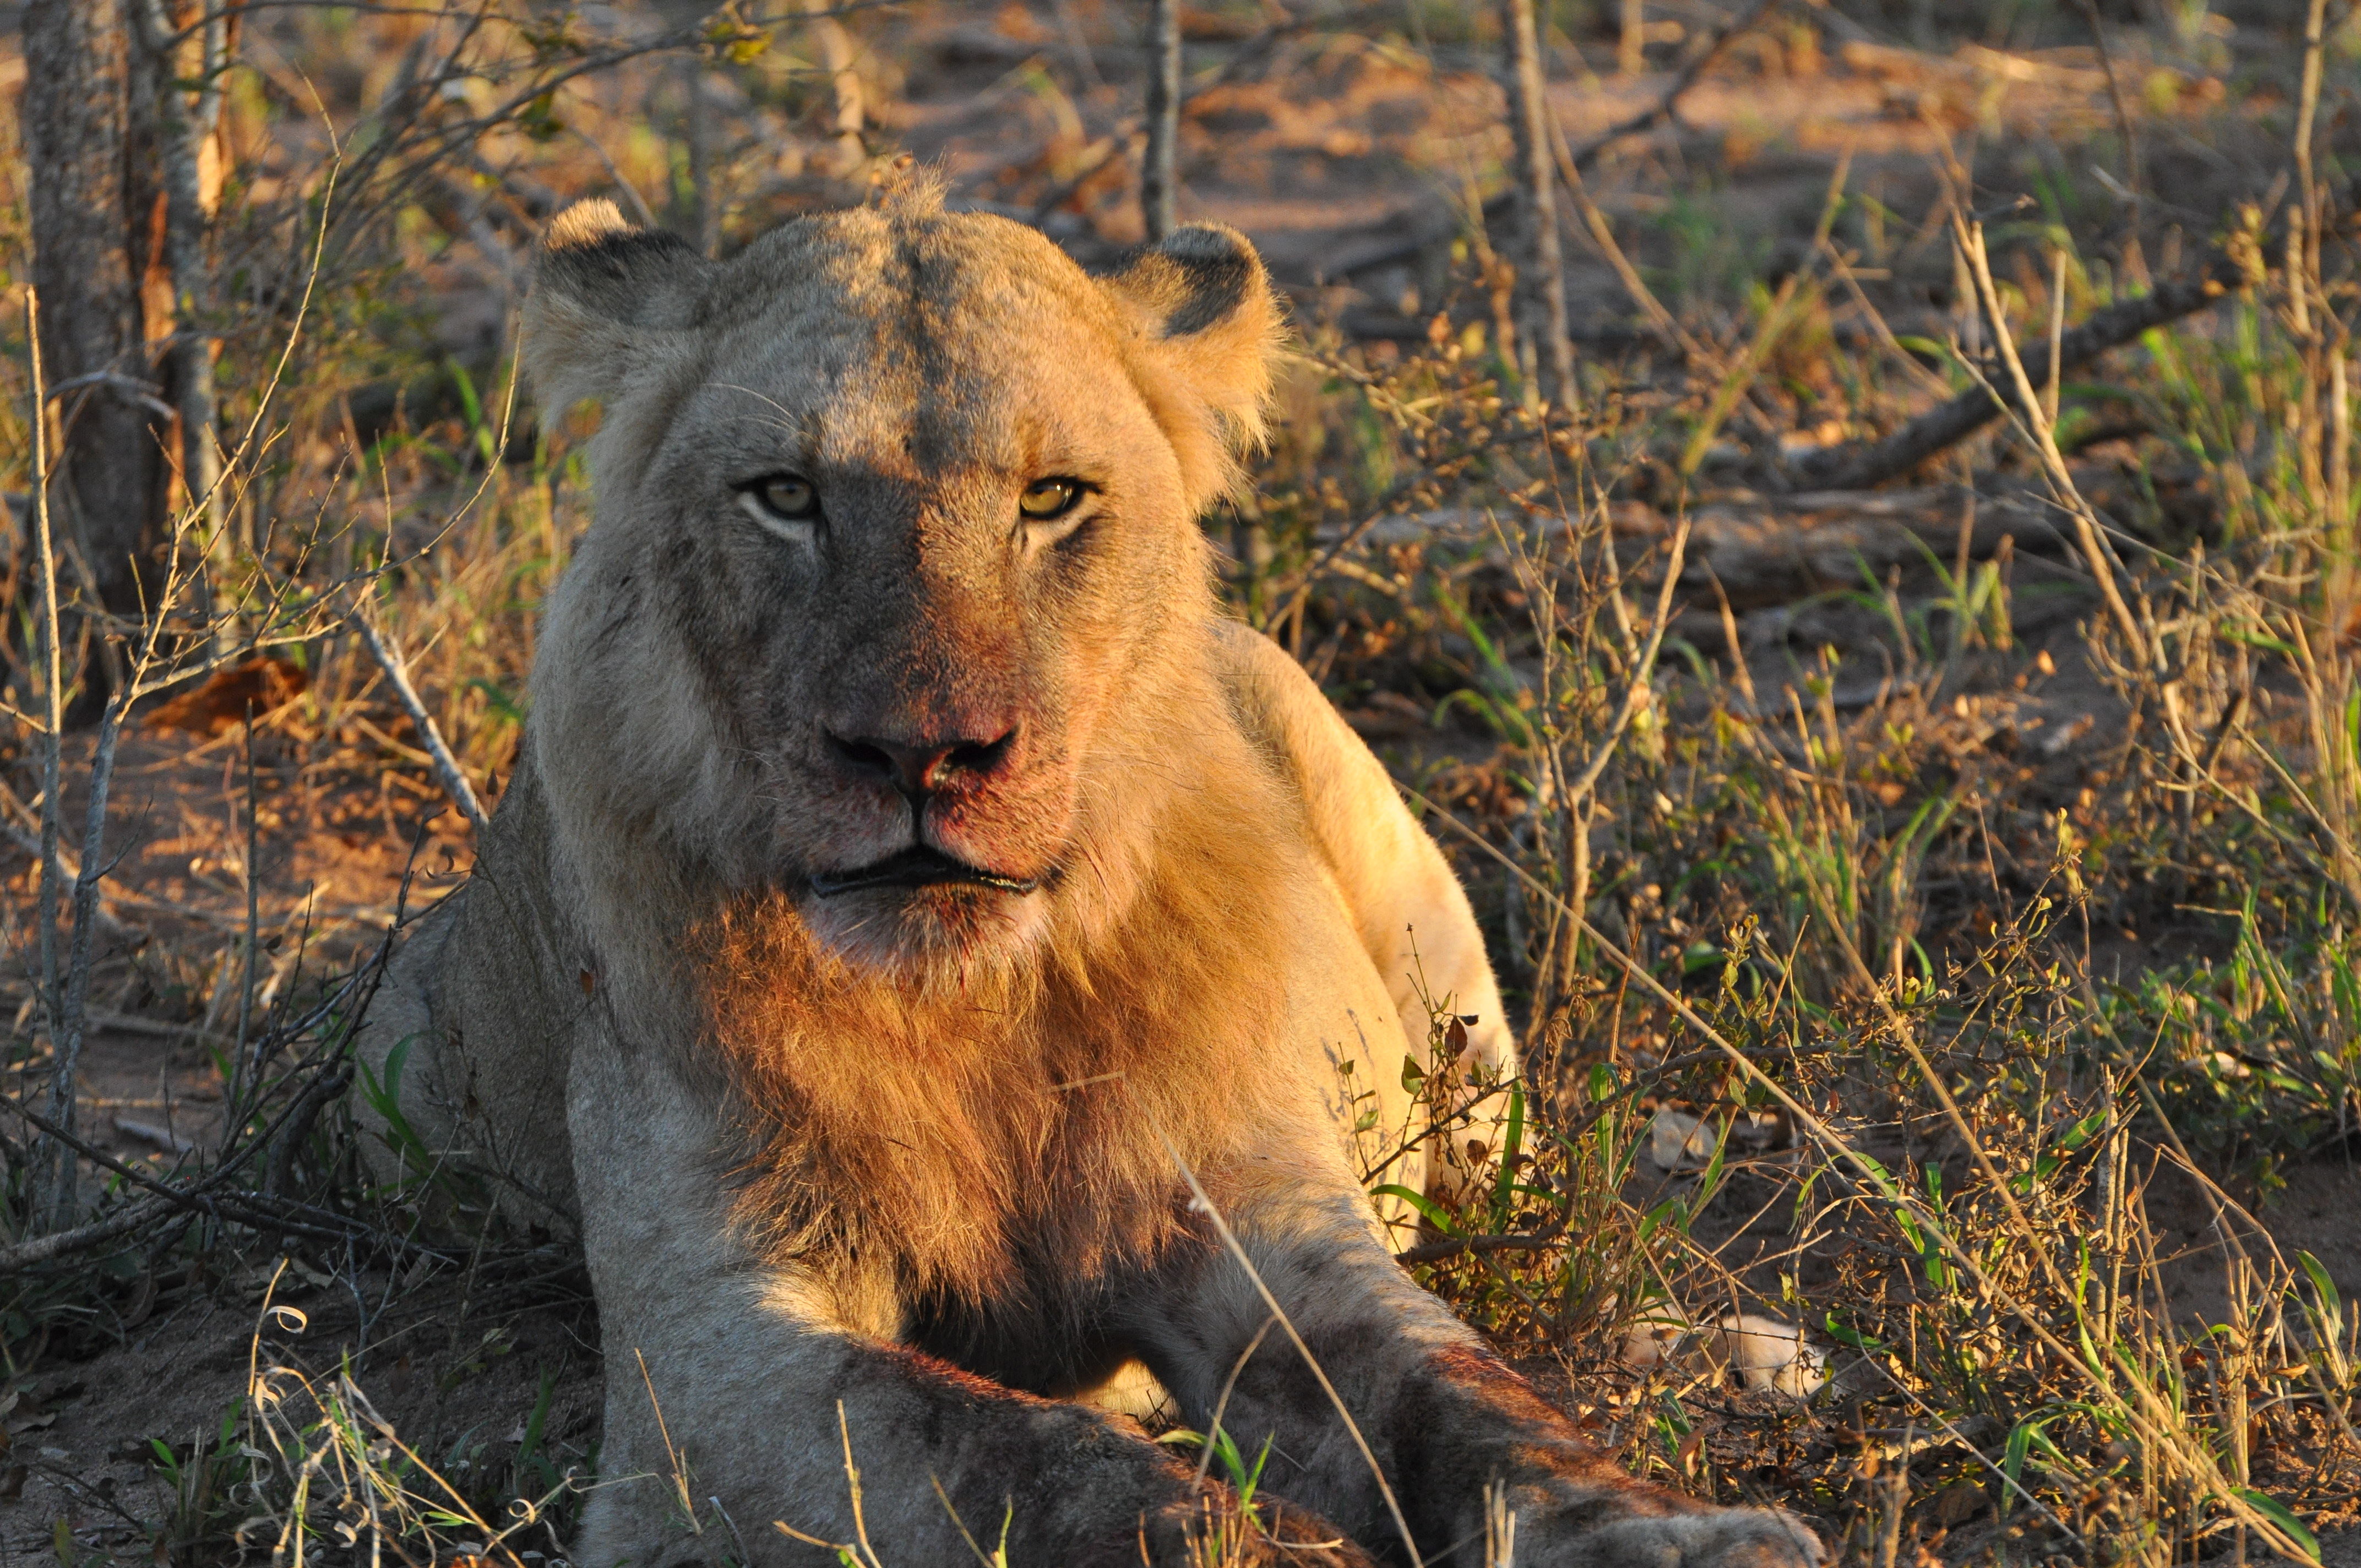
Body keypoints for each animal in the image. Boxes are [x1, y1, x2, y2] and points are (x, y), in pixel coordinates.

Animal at [355, 187, 1823, 1568]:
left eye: (1051, 497)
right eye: (785, 494)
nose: (922, 752)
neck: (976, 1005)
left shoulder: (1260, 1210)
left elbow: (1462, 1396)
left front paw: (1687, 1532)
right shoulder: (708, 1364)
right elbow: (1033, 1455)